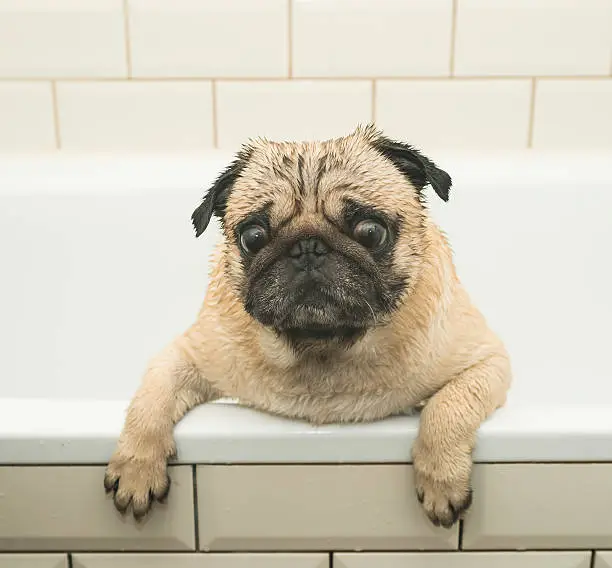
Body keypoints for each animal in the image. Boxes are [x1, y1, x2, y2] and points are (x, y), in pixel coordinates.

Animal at [104, 124, 512, 528]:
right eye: (253, 237)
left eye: (370, 232)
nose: (308, 248)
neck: (322, 348)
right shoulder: (184, 357)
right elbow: (149, 402)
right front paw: (136, 467)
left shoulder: (486, 362)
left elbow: (446, 408)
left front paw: (440, 478)